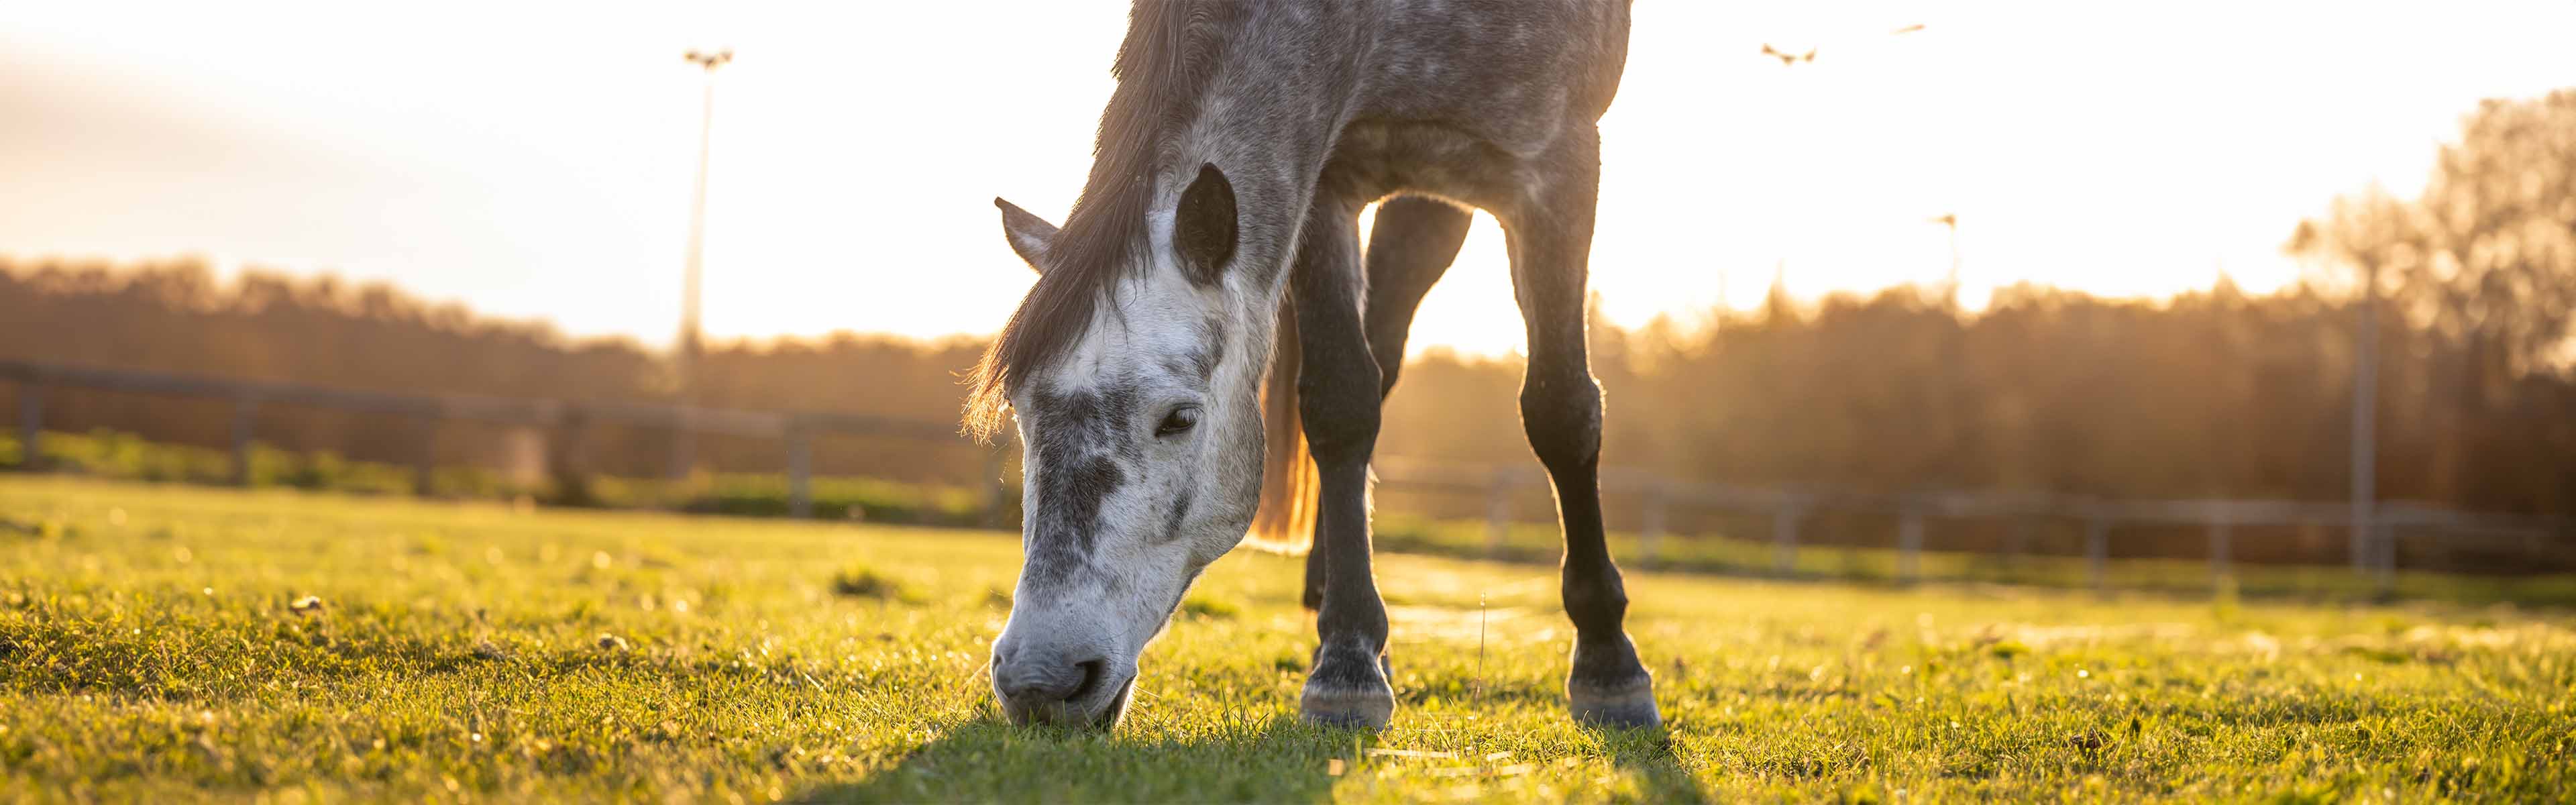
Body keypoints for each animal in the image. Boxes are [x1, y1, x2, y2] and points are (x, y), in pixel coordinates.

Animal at [967, 0, 1651, 731]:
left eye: (1179, 418)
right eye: (1022, 415)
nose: (1041, 679)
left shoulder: (1556, 164)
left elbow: (1562, 409)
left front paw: (1609, 663)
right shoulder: (1323, 181)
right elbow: (1341, 403)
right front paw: (1349, 657)